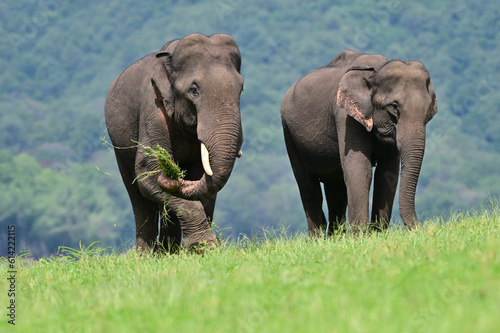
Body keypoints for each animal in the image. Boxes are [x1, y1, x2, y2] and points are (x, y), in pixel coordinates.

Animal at [105, 34, 244, 252]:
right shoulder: (154, 111)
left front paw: (204, 246)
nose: (172, 174)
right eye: (194, 90)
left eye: (241, 88)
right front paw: (204, 245)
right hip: (119, 148)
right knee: (138, 196)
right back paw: (148, 254)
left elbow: (200, 176)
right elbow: (148, 171)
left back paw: (167, 252)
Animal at [282, 49, 438, 235]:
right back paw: (318, 238)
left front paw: (377, 234)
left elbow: (387, 172)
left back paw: (335, 237)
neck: (376, 71)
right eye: (394, 106)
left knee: (336, 190)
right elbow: (359, 168)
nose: (426, 229)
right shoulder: (345, 117)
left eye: (429, 109)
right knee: (308, 188)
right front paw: (360, 236)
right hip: (289, 133)